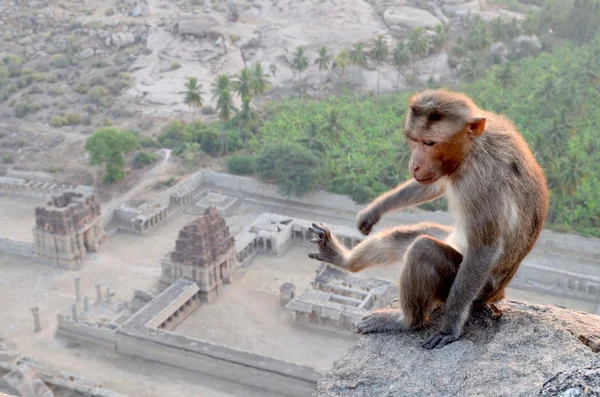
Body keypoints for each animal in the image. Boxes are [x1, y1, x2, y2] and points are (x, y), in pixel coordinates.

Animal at [310, 88, 548, 348]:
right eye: (414, 140)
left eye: (430, 143)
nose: (414, 165)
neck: (472, 149)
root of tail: (499, 293)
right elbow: (432, 185)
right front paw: (374, 210)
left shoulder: (482, 181)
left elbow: (485, 247)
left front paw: (450, 328)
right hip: (450, 238)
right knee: (410, 236)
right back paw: (343, 260)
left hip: (470, 290)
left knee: (423, 249)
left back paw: (407, 322)